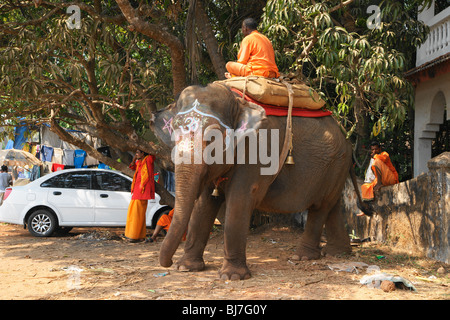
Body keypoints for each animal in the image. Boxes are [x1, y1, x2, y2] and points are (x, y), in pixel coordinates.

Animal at [149, 82, 370, 280]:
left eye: (213, 137)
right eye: (174, 132)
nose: (168, 263)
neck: (237, 102)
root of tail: (345, 135)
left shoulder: (257, 149)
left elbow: (240, 199)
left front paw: (232, 277)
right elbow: (204, 203)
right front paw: (186, 268)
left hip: (335, 163)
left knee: (320, 207)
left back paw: (303, 257)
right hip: (335, 167)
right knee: (333, 205)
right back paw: (337, 253)